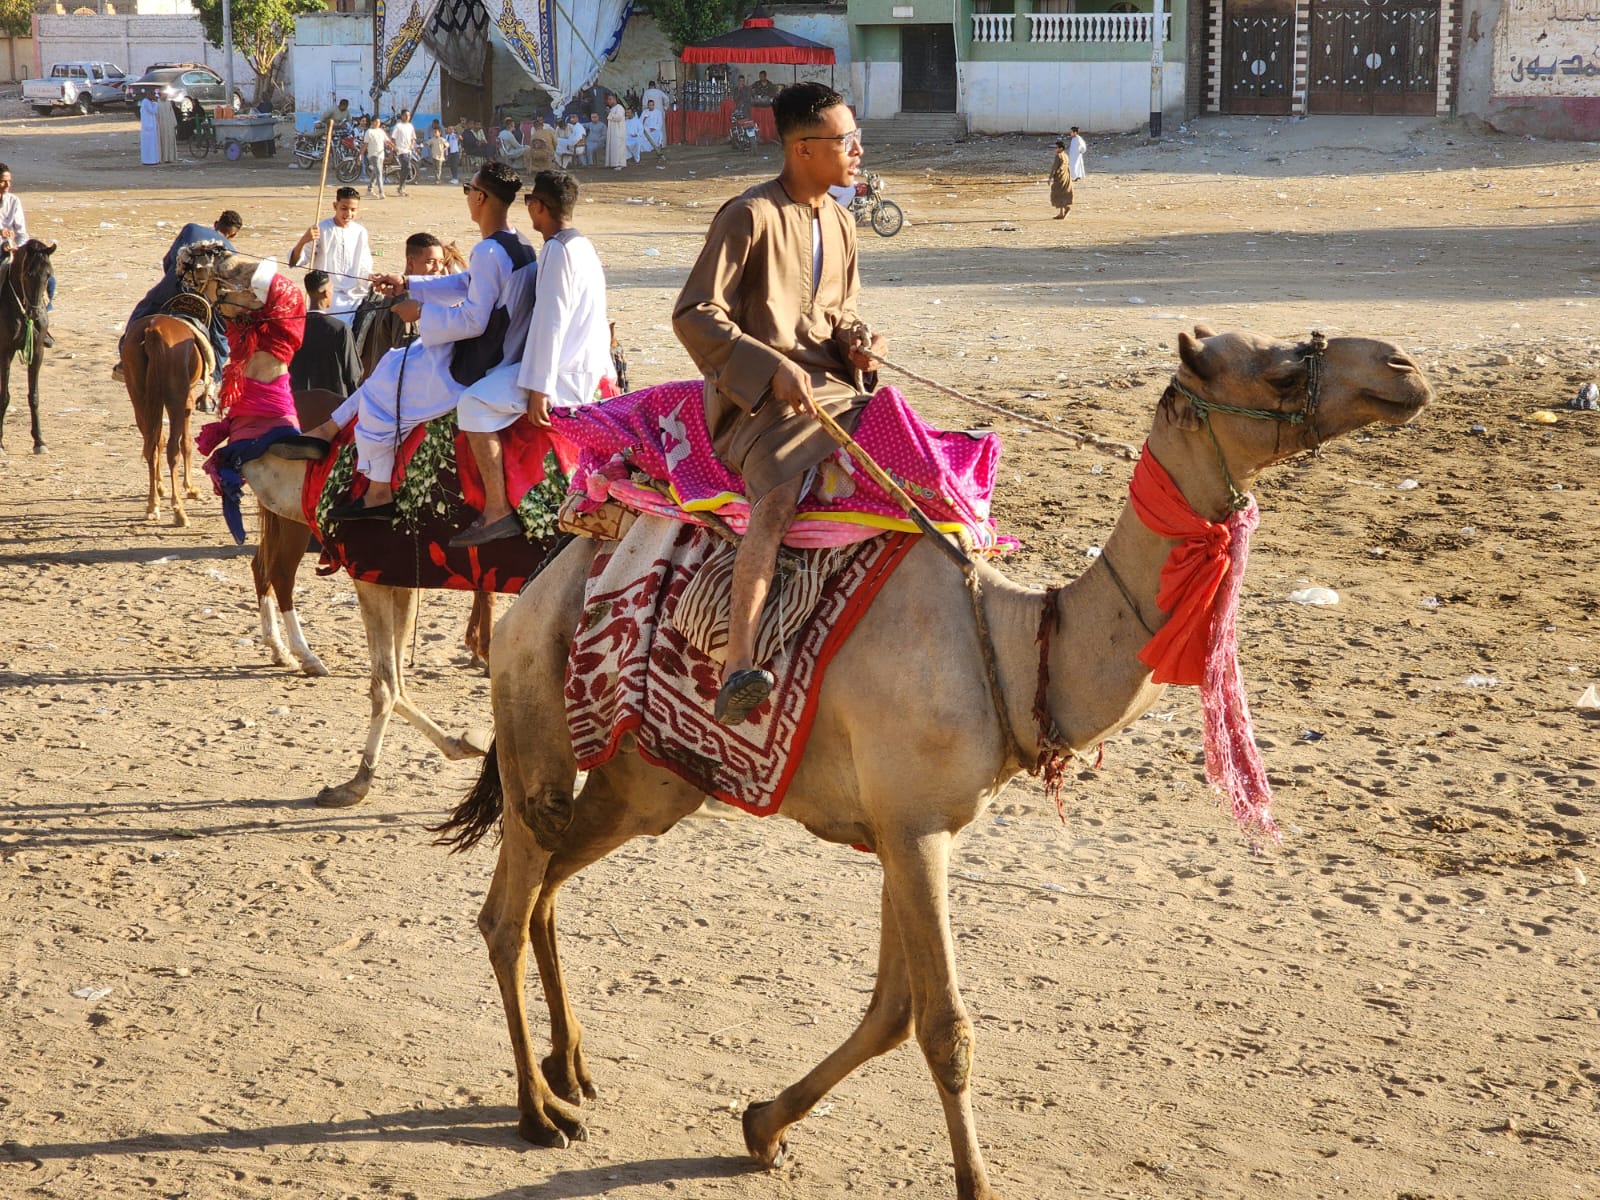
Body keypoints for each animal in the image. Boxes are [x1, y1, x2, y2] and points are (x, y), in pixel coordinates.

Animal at [0, 240, 57, 454]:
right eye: (28, 274)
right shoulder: (5, 352)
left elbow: (34, 396)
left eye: (48, 274)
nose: (35, 313)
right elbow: (4, 396)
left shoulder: (38, 351)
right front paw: (0, 442)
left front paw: (39, 441)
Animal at [432, 329, 1433, 1200]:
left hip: (646, 781)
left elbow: (891, 1010)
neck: (1017, 645)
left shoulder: (911, 831)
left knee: (550, 884)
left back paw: (574, 1069)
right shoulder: (913, 832)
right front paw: (976, 1185)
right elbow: (945, 1025)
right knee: (504, 910)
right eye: (1273, 368)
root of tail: (535, 594)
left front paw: (764, 1124)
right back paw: (540, 1112)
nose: (1401, 367)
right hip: (544, 729)